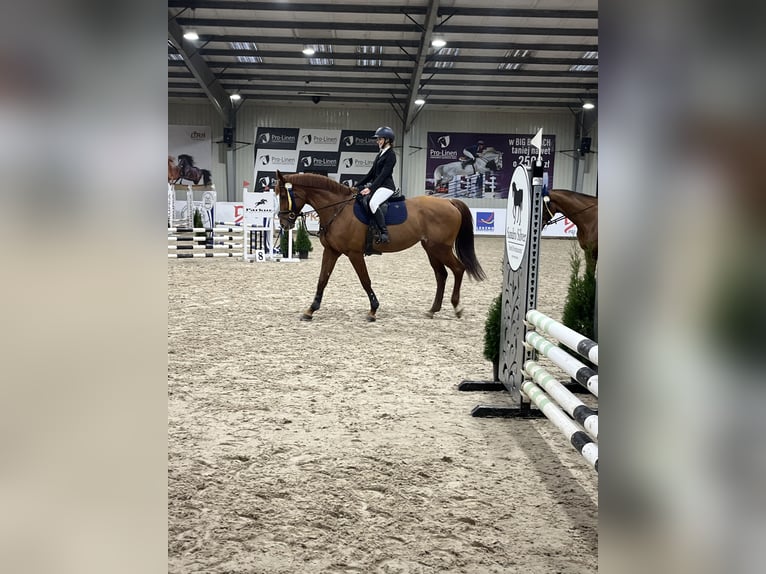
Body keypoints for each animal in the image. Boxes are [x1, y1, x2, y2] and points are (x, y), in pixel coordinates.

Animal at [274, 170, 486, 322]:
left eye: (284, 195)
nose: (283, 223)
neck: (337, 208)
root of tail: (449, 202)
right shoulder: (331, 251)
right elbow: (322, 280)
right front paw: (310, 310)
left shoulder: (354, 253)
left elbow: (365, 280)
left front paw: (373, 310)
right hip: (431, 249)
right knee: (441, 275)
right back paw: (432, 310)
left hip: (440, 248)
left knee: (458, 269)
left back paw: (457, 307)